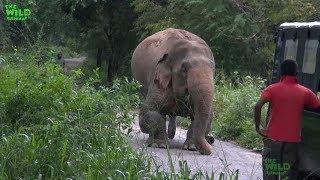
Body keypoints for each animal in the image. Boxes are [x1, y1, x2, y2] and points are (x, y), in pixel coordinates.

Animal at [130, 27, 215, 155]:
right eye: (184, 69)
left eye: (213, 69)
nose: (211, 148)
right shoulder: (158, 80)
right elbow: (149, 112)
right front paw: (159, 145)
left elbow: (203, 116)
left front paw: (191, 148)